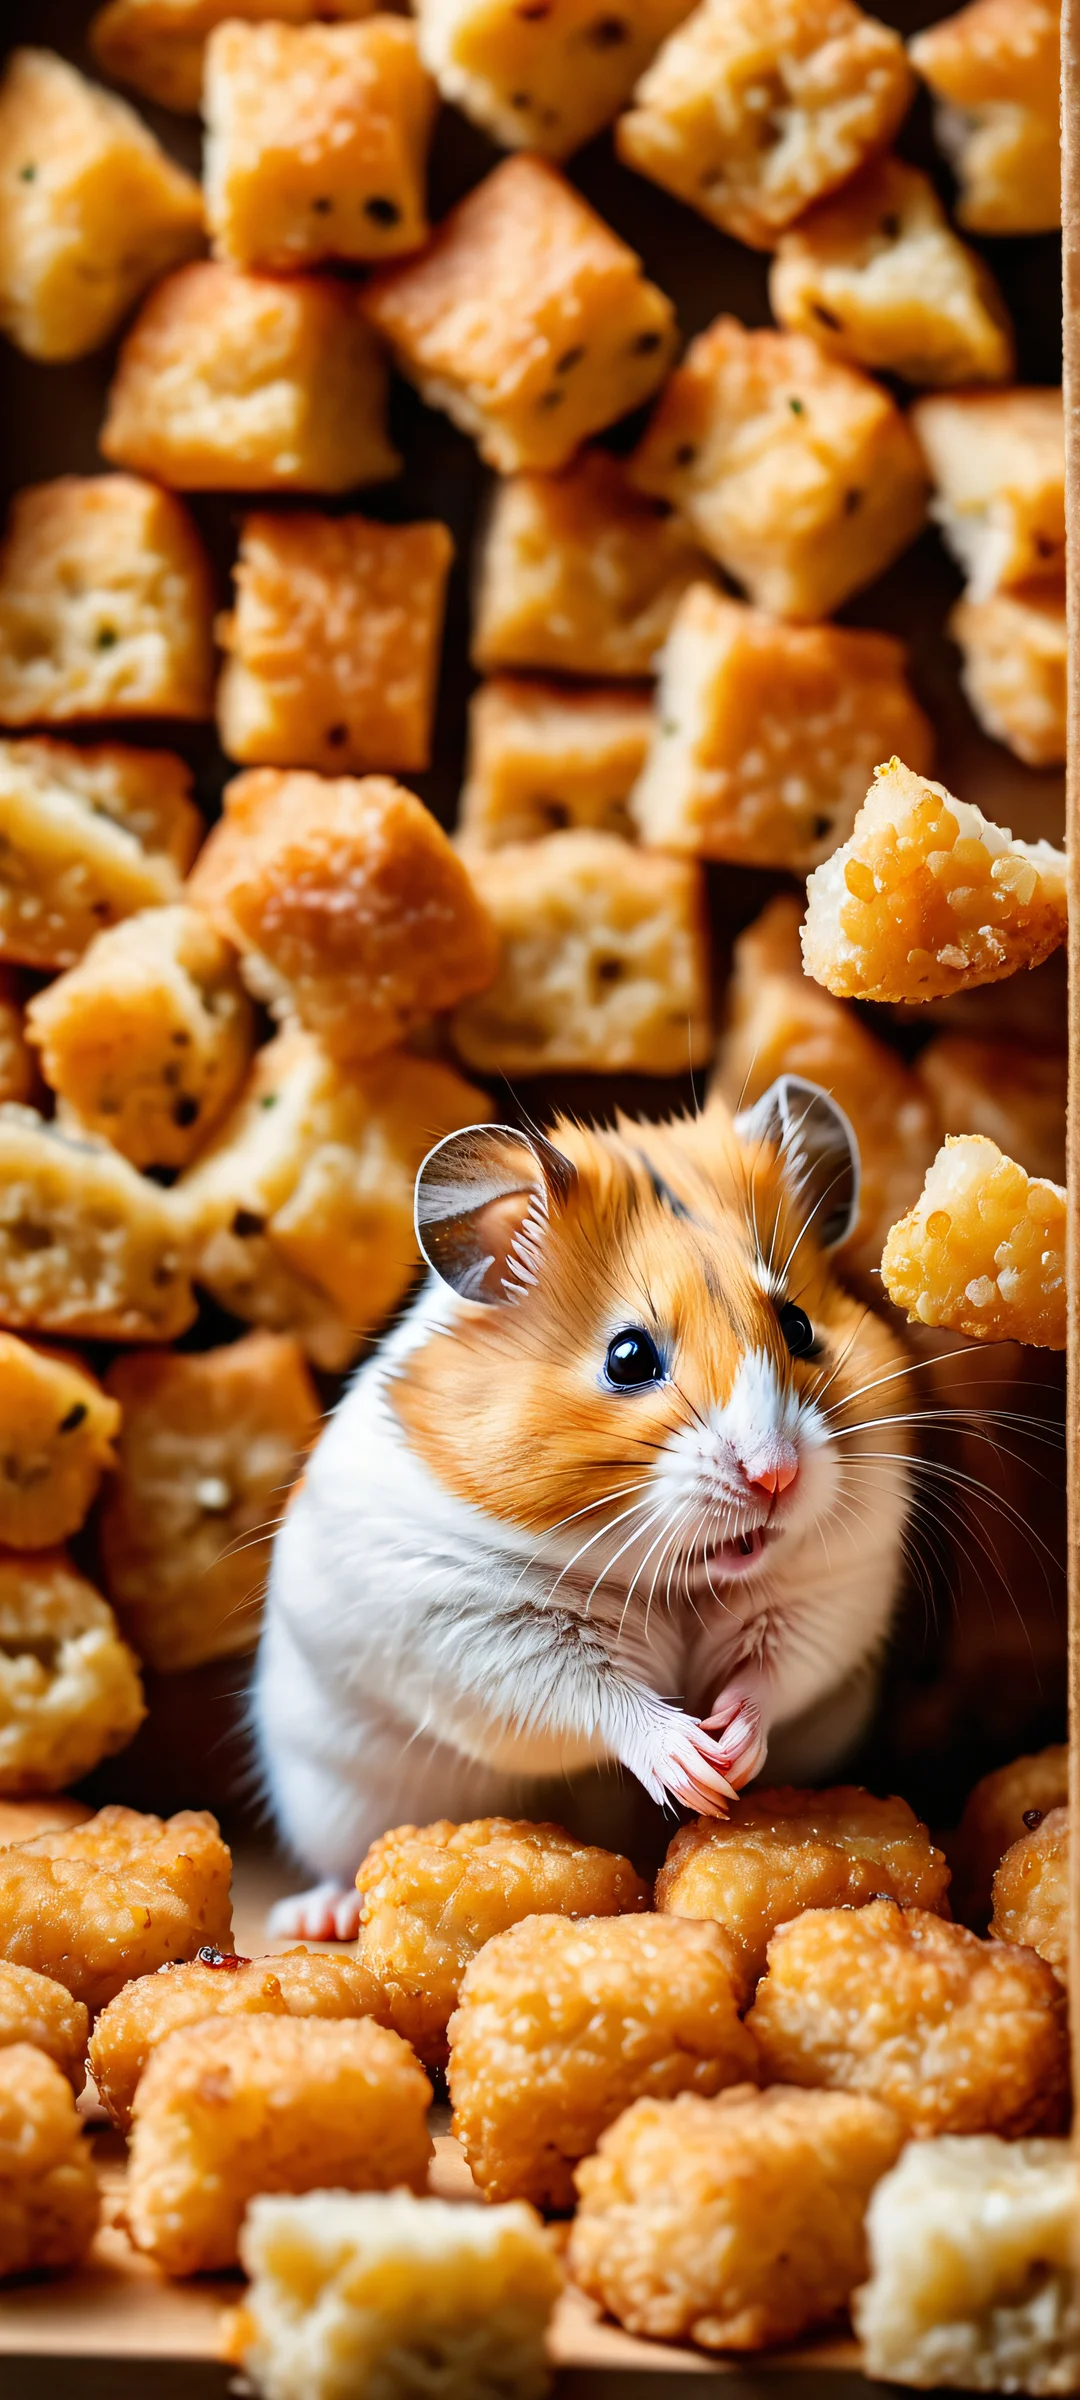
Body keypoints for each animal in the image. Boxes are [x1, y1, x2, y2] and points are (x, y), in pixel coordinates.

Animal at [256, 1076, 915, 1939]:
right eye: (628, 1357)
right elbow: (597, 1699)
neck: (675, 1580)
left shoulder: (828, 1594)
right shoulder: (473, 1627)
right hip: (336, 1796)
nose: (776, 1476)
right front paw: (697, 1768)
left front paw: (733, 1755)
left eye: (800, 1325)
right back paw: (316, 1919)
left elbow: (772, 1672)